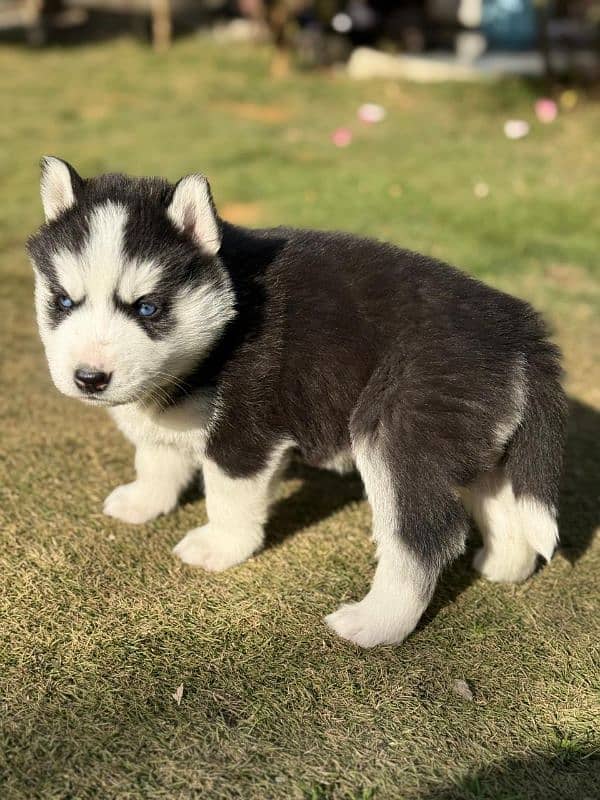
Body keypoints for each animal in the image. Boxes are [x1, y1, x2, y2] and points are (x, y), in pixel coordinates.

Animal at [28, 158, 568, 648]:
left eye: (147, 307)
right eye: (64, 302)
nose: (89, 378)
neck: (227, 316)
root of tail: (519, 327)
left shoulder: (244, 432)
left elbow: (227, 495)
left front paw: (220, 546)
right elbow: (157, 457)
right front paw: (144, 501)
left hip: (397, 428)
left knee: (422, 537)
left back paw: (376, 622)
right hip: (478, 435)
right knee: (501, 498)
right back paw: (504, 565)